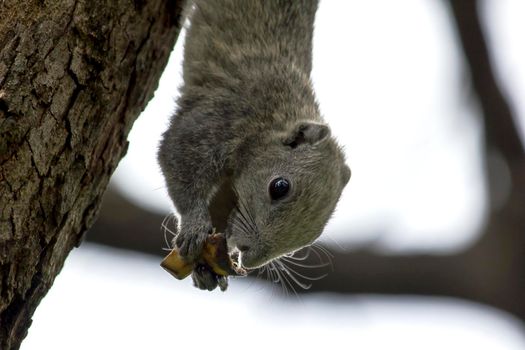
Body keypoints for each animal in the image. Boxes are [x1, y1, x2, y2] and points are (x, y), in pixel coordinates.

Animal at [158, 0, 350, 290]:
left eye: (314, 235)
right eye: (279, 187)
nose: (249, 258)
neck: (270, 124)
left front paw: (207, 268)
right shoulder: (220, 117)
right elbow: (176, 155)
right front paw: (193, 226)